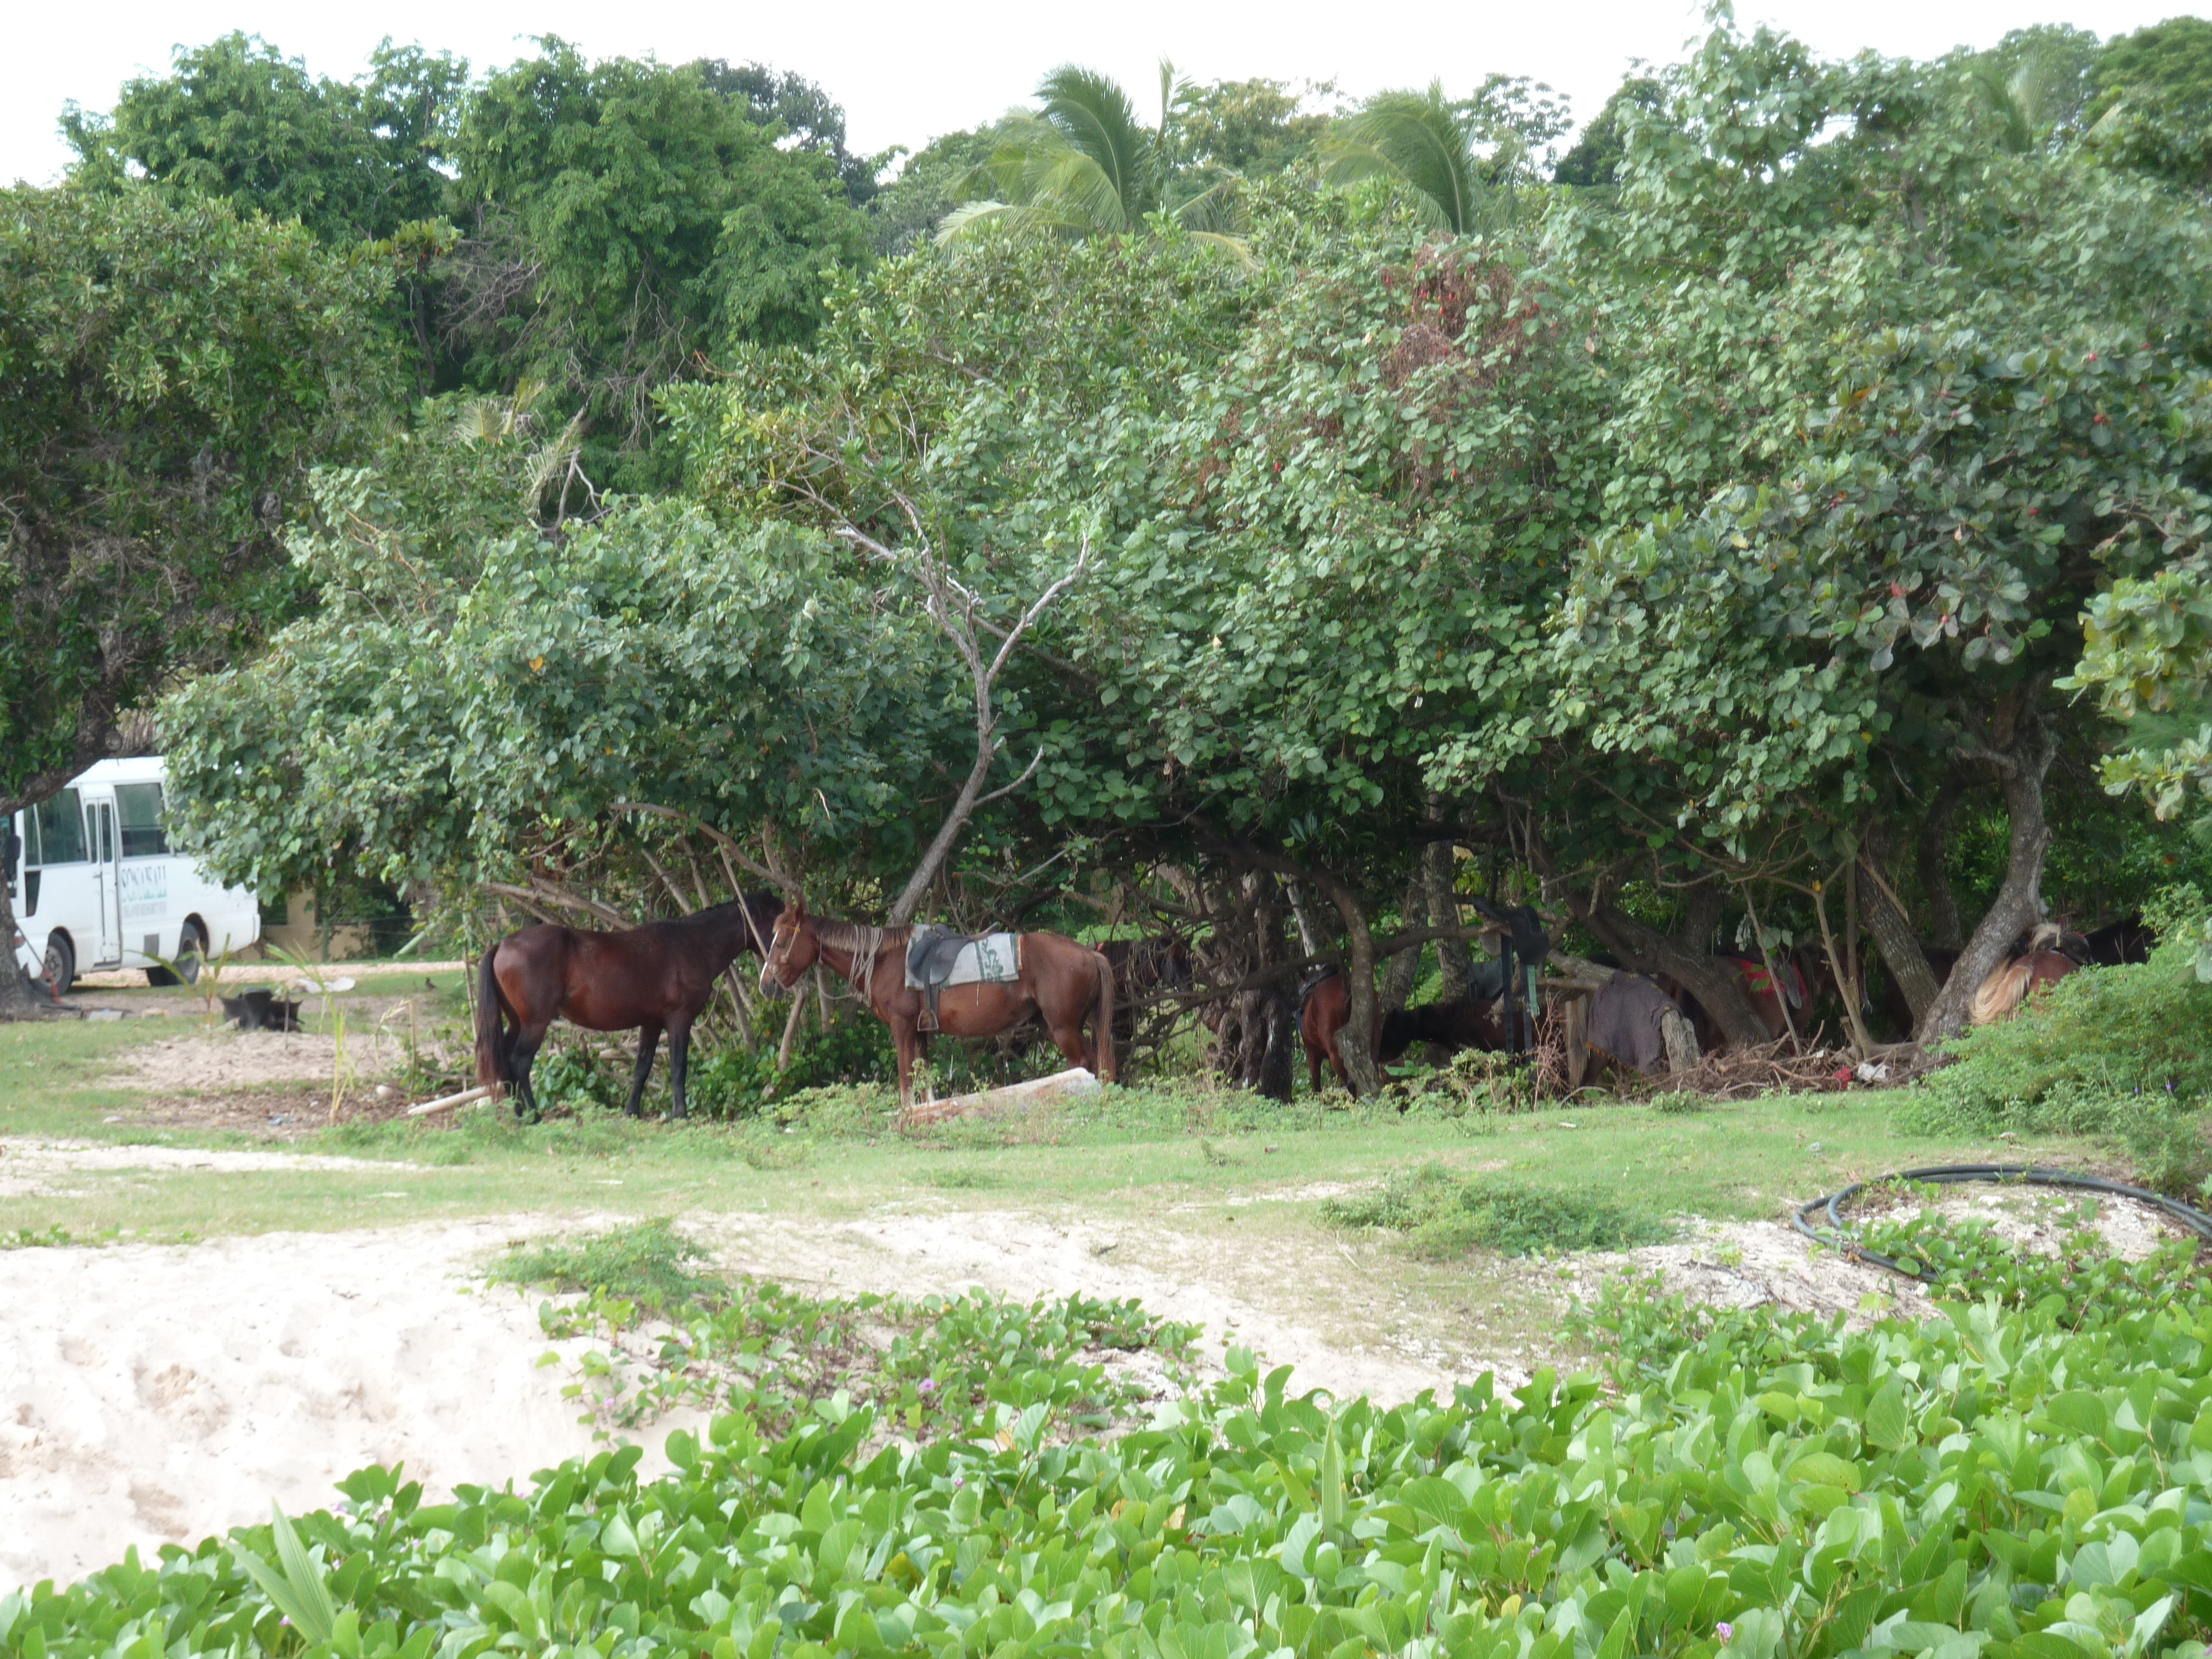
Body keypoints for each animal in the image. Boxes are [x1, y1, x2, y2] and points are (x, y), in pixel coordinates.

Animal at [471, 898, 783, 1133]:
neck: (692, 944)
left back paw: (520, 1114)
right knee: (520, 1064)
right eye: (778, 928)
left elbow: (642, 1068)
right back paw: (533, 1116)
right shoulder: (679, 1020)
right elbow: (678, 1067)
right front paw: (680, 1115)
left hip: (517, 1022)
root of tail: (503, 945)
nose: (773, 985)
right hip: (536, 1023)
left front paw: (632, 1112)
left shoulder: (652, 1023)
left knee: (506, 1064)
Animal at [752, 898, 1115, 1119]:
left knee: (1086, 1064)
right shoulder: (921, 1031)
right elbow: (924, 1078)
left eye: (781, 943)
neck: (885, 962)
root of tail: (1088, 953)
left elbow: (905, 1078)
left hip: (1063, 1027)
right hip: (1062, 1026)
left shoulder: (901, 1027)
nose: (765, 985)